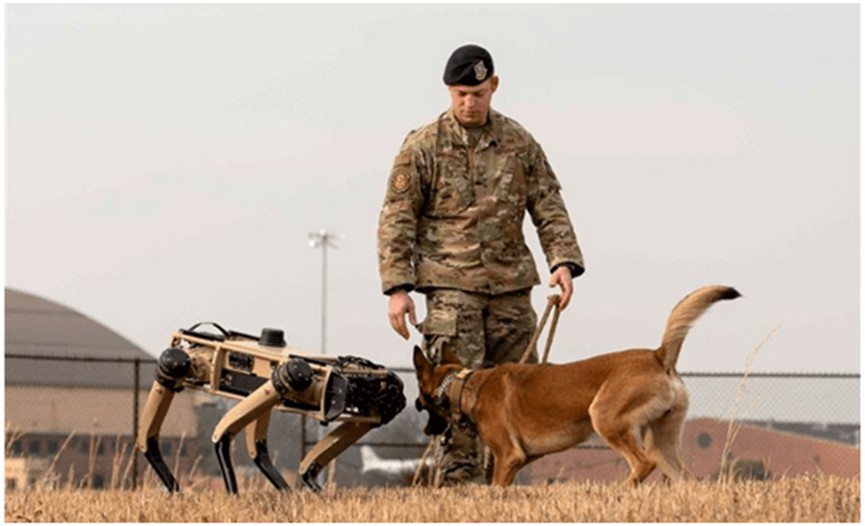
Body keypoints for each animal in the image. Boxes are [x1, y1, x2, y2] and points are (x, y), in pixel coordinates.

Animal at [416, 286, 740, 488]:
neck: (466, 385)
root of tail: (658, 355)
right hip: (662, 442)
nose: (428, 431)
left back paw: (618, 492)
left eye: (420, 403)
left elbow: (496, 487)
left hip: (606, 418)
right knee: (686, 479)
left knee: (642, 464)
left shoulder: (508, 457)